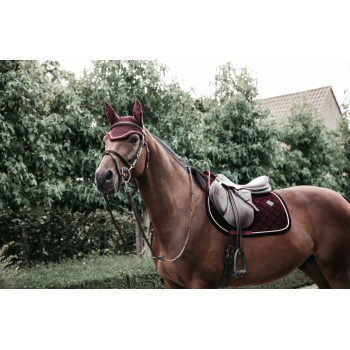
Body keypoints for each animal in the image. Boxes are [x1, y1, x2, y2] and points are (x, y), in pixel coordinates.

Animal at [95, 100, 350, 288]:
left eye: (133, 138)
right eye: (105, 139)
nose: (102, 177)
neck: (183, 215)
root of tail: (341, 200)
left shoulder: (200, 285)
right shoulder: (171, 284)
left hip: (337, 272)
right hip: (315, 267)